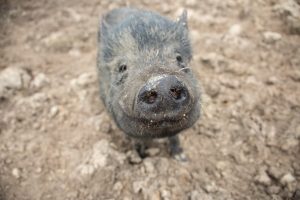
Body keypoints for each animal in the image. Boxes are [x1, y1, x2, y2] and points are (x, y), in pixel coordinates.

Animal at [97, 7, 202, 161]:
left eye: (179, 58)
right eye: (122, 67)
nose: (161, 82)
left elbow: (175, 136)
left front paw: (181, 158)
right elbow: (138, 139)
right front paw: (140, 156)